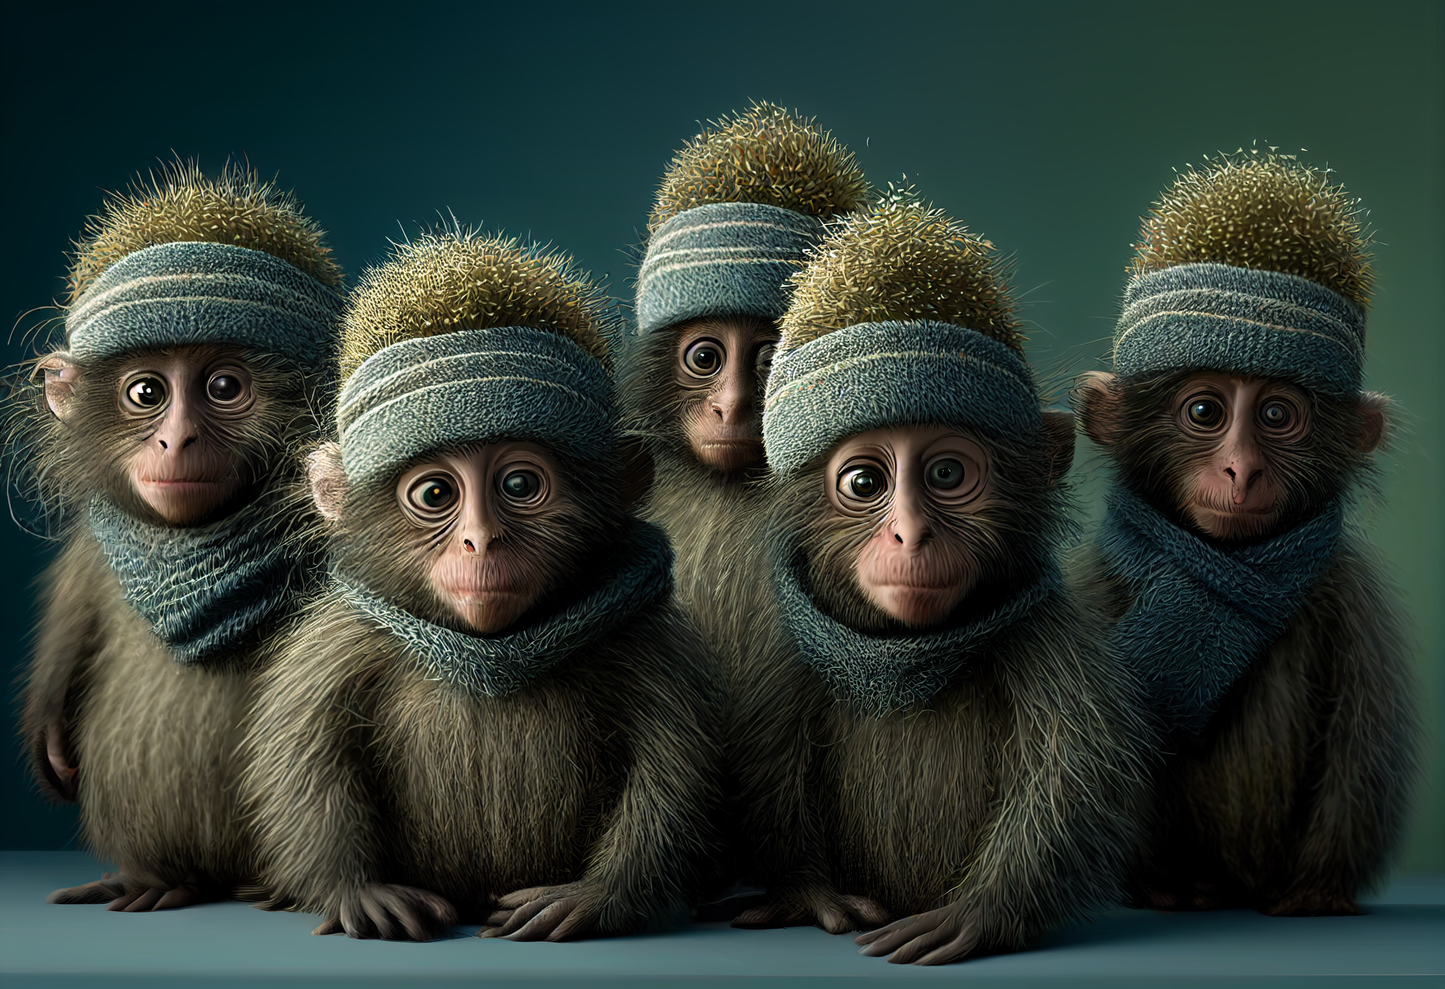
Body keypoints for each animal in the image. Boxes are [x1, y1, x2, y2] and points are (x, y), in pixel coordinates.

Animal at [241, 229, 720, 942]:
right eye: (435, 494)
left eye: (518, 484)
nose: (481, 540)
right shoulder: (339, 643)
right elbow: (302, 758)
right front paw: (356, 892)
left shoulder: (643, 643)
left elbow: (676, 770)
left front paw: (597, 896)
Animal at [732, 192, 1148, 965]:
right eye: (864, 482)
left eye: (947, 473)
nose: (910, 532)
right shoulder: (782, 643)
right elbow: (765, 757)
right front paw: (807, 892)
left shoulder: (1048, 631)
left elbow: (1073, 770)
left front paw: (981, 910)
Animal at [1069, 150, 1422, 916]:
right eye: (1205, 410)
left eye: (1277, 415)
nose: (1241, 468)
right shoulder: (1091, 592)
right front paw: (1157, 882)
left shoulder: (1348, 596)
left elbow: (1359, 744)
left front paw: (1317, 891)